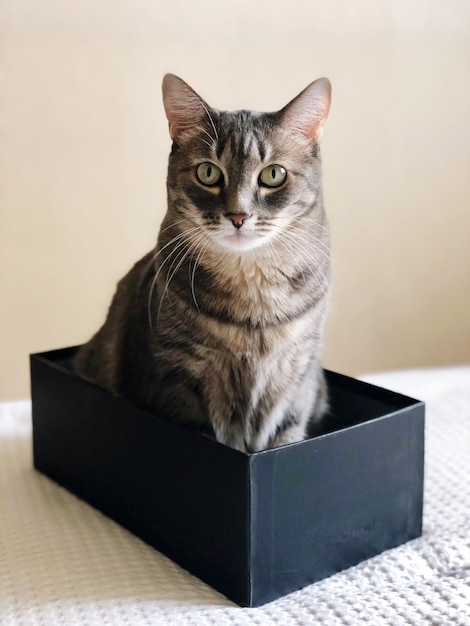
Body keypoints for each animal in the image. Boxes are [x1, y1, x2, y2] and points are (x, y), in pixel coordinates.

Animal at [74, 74, 330, 454]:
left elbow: (285, 436)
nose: (238, 215)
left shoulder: (298, 377)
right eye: (208, 172)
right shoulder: (175, 378)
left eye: (273, 175)